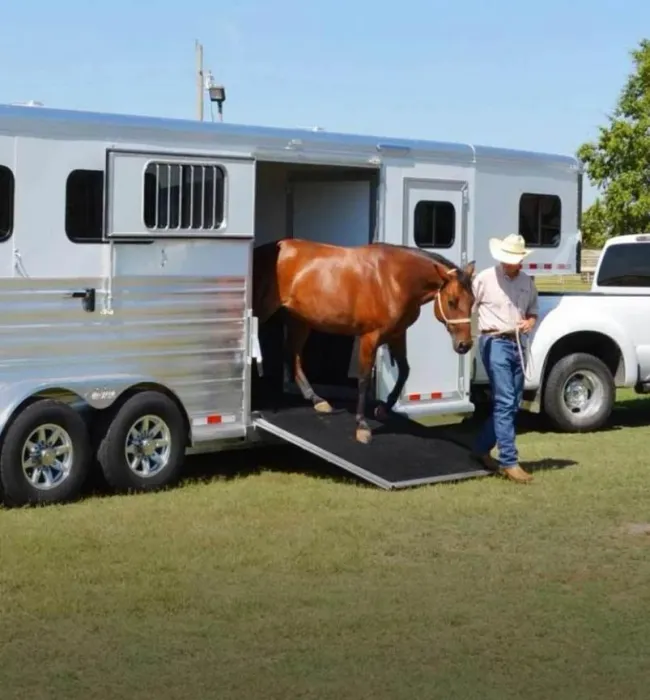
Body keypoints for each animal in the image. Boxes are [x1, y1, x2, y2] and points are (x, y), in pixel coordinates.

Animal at [252, 238, 476, 444]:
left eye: (473, 301)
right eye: (451, 302)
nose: (464, 345)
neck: (393, 279)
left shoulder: (397, 334)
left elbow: (404, 370)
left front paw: (383, 408)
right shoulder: (370, 337)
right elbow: (363, 379)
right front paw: (362, 426)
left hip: (299, 320)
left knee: (293, 354)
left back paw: (317, 399)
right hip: (265, 313)